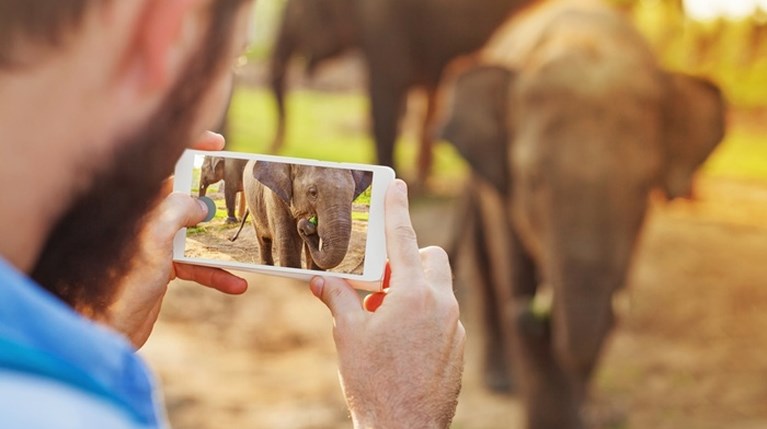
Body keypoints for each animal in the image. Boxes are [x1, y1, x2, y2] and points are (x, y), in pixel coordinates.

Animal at [238, 159, 374, 270]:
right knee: (263, 239)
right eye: (313, 192)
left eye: (352, 194)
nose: (307, 225)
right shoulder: (274, 196)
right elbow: (288, 247)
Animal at [438, 1, 728, 426]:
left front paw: (589, 409)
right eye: (533, 179)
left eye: (644, 186)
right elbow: (514, 272)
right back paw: (500, 378)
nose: (530, 315)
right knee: (486, 260)